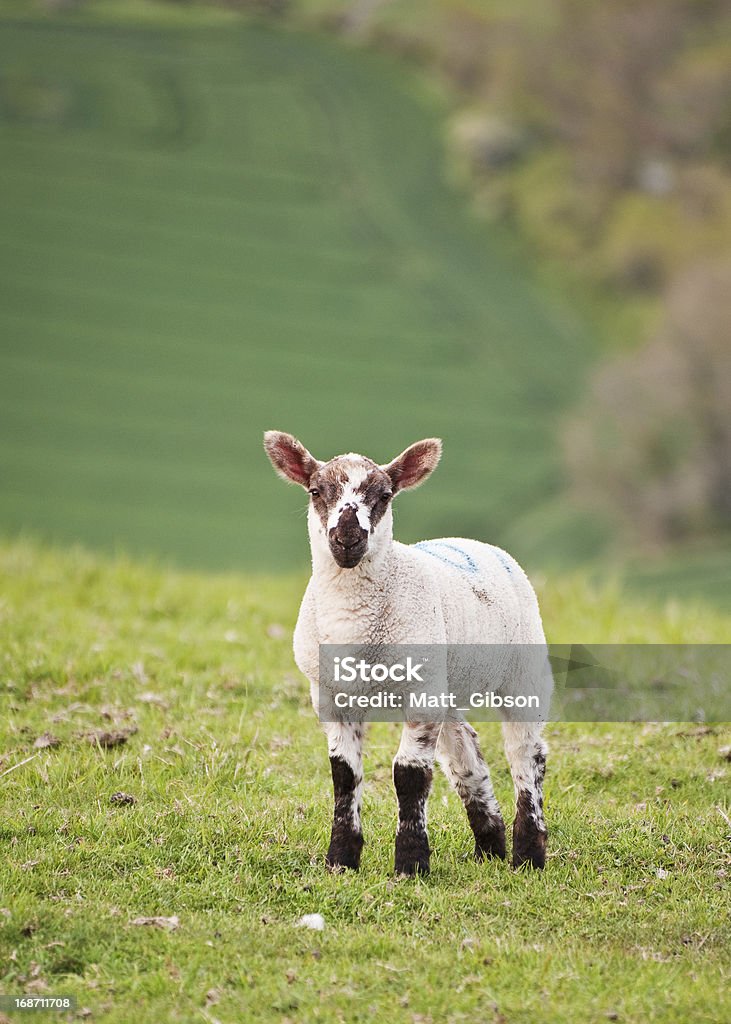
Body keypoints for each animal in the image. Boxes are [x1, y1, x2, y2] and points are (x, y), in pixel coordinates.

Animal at [262, 430, 548, 872]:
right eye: (315, 491)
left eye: (385, 495)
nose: (347, 538)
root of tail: (476, 543)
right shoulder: (329, 695)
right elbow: (344, 775)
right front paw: (341, 859)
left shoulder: (421, 692)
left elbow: (409, 775)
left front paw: (411, 863)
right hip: (446, 679)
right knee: (465, 750)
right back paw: (489, 847)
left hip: (522, 668)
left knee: (525, 753)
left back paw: (528, 853)